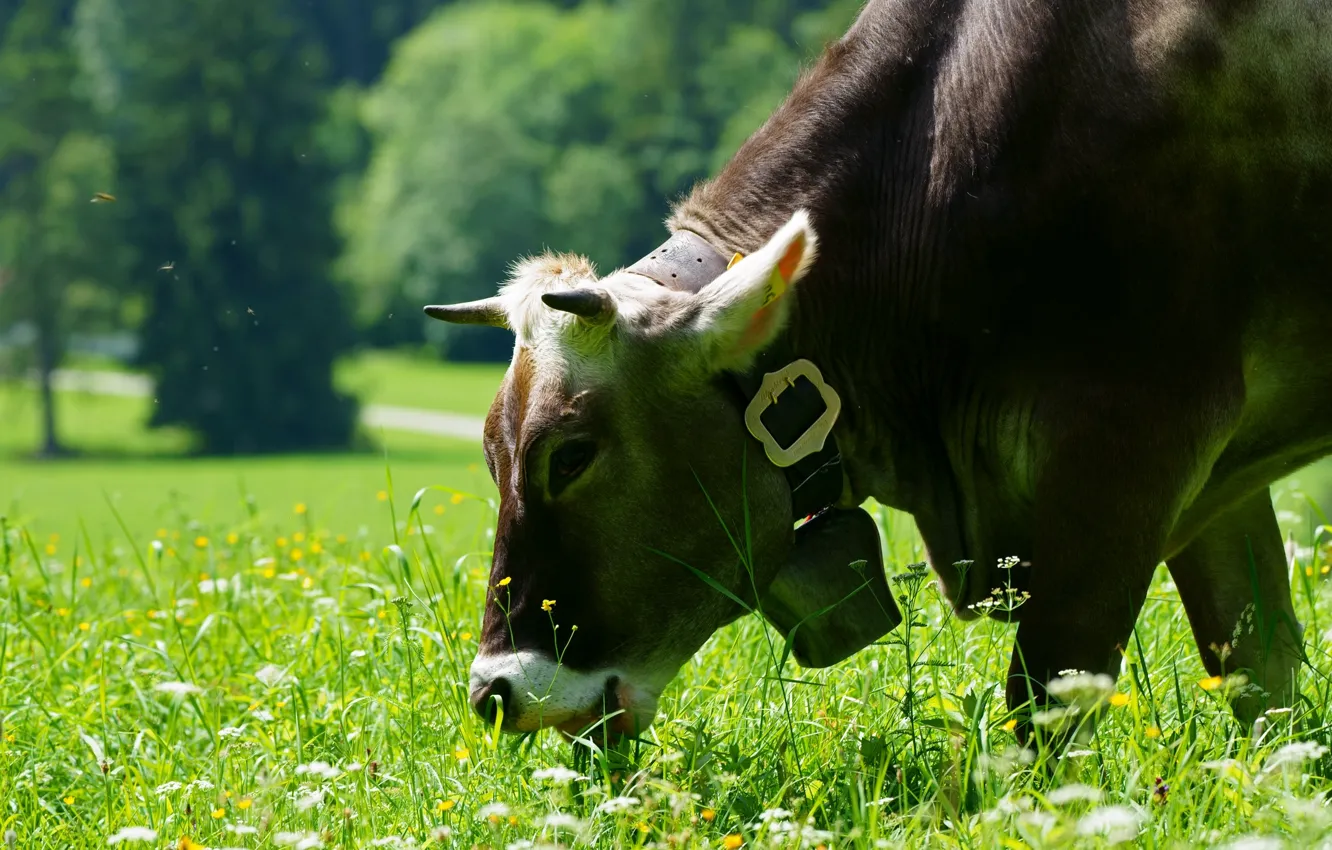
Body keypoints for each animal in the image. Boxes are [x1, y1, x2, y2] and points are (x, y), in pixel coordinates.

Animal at [424, 0, 1332, 742]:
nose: (495, 692)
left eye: (570, 455)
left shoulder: (1134, 445)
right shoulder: (1217, 480)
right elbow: (1261, 672)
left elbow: (1044, 703)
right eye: (490, 456)